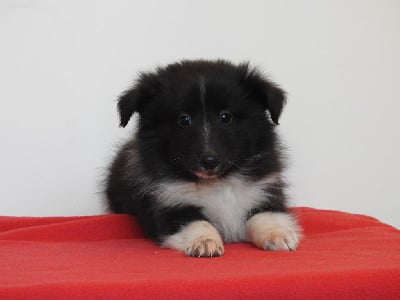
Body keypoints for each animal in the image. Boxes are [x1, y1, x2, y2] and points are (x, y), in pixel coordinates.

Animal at [105, 59, 300, 256]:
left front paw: (278, 235)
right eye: (184, 120)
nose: (209, 161)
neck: (216, 182)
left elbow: (265, 215)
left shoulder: (265, 190)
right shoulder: (167, 203)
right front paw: (205, 241)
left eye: (226, 117)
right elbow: (195, 222)